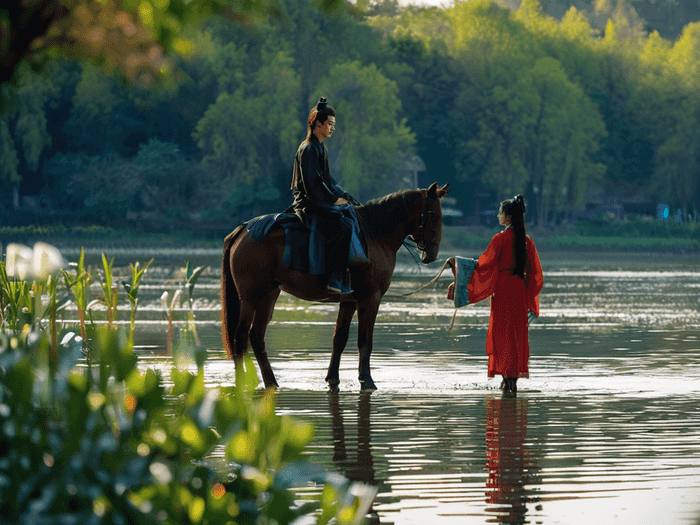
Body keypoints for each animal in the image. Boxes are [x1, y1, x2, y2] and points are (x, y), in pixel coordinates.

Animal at [220, 182, 448, 386]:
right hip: (250, 297)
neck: (376, 233)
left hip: (268, 295)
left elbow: (339, 339)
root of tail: (243, 230)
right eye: (433, 214)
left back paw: (270, 381)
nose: (432, 254)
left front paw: (332, 378)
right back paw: (244, 381)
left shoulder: (349, 301)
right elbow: (365, 341)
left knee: (256, 336)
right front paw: (366, 379)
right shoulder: (370, 299)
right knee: (241, 336)